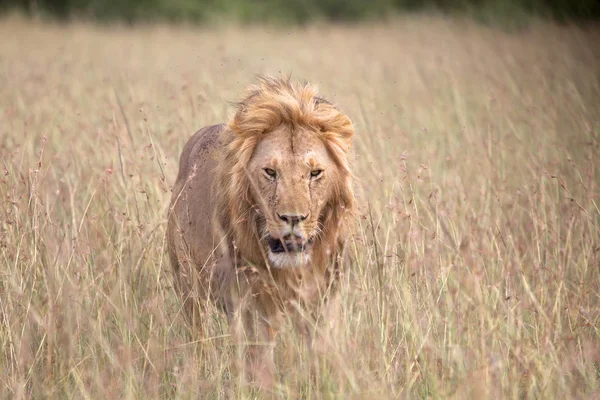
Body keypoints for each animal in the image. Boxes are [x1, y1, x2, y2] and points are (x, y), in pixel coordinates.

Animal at [166, 76, 356, 388]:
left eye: (315, 173)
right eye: (270, 172)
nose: (293, 218)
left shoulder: (323, 300)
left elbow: (321, 356)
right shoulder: (250, 306)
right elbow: (261, 366)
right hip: (188, 286)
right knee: (197, 337)